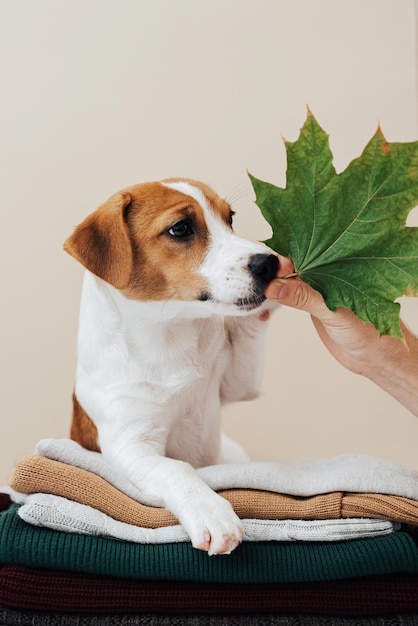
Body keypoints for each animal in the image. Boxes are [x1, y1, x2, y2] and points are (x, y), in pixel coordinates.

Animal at [64, 178, 278, 552]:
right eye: (181, 229)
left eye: (230, 218)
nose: (269, 262)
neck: (169, 336)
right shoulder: (130, 445)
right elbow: (177, 469)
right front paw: (210, 512)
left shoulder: (235, 385)